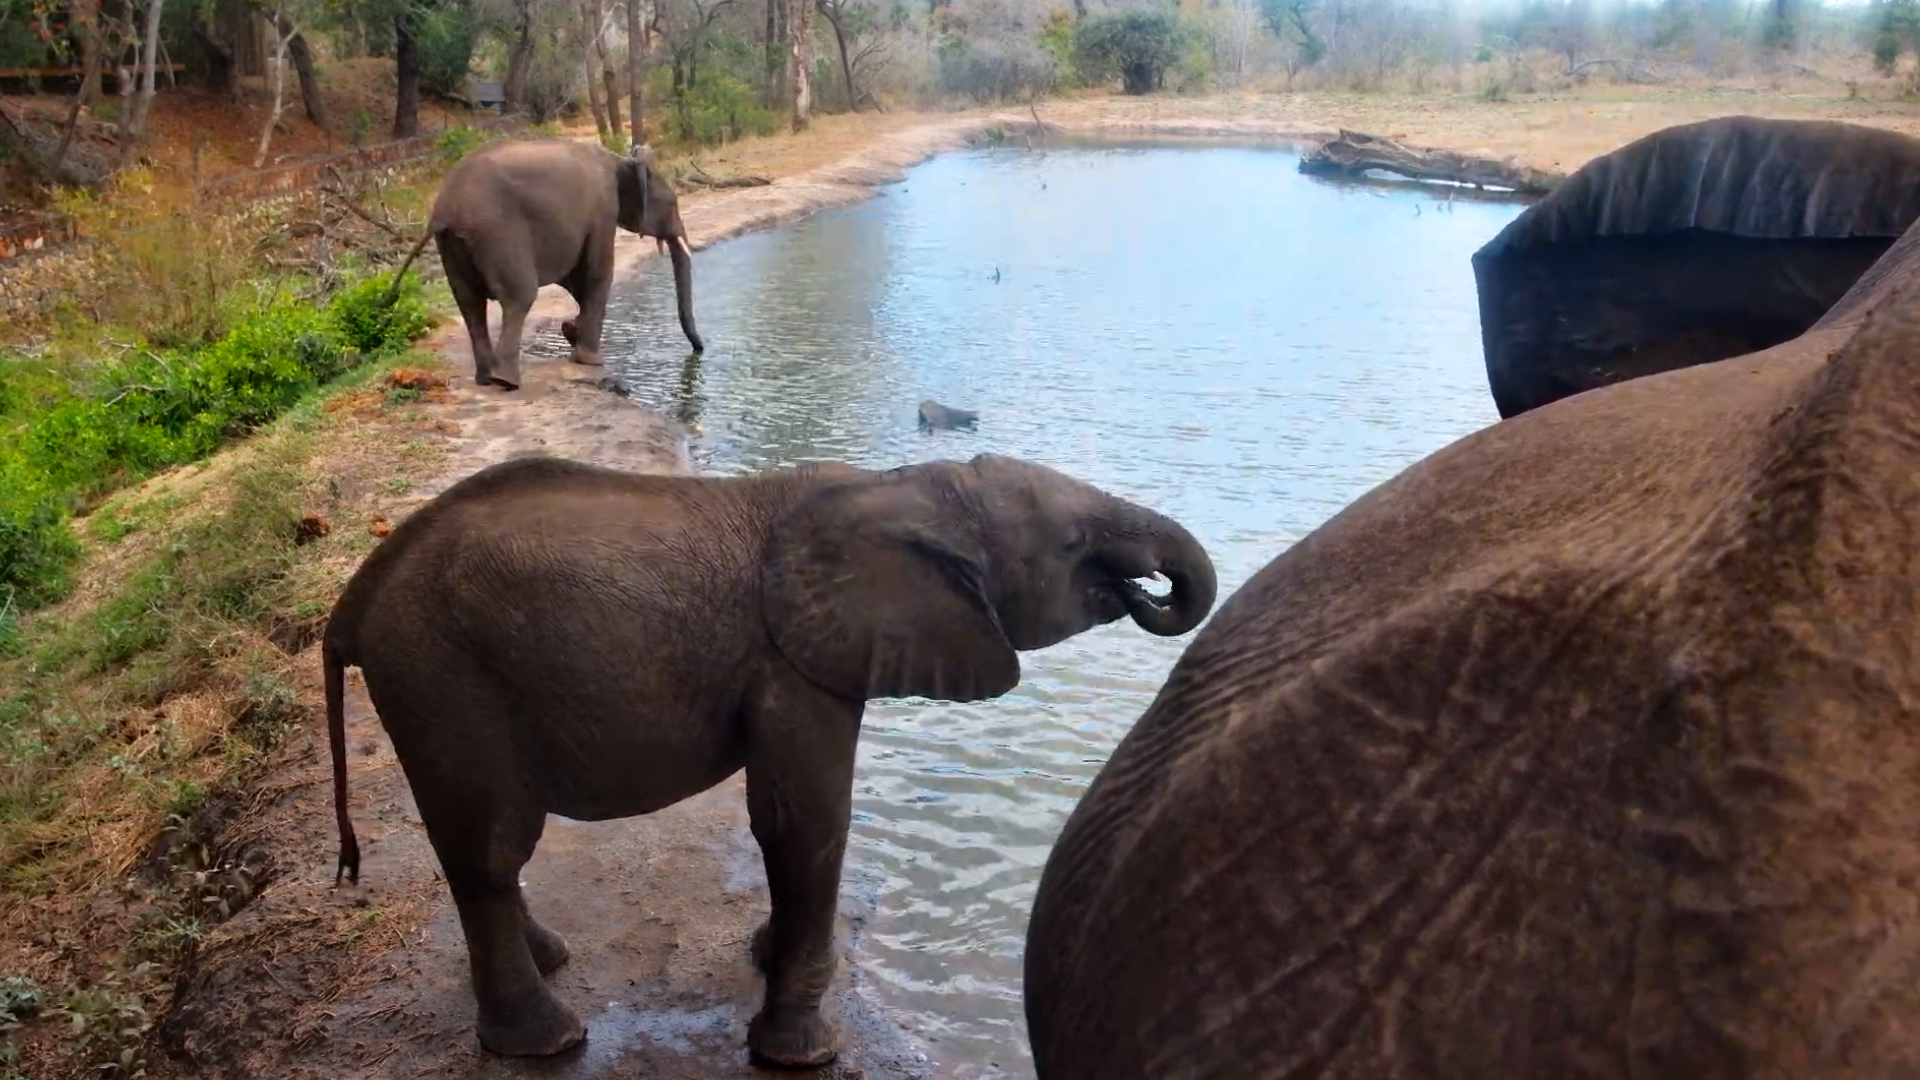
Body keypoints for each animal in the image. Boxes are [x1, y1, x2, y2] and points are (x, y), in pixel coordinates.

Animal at [323, 452, 1216, 1068]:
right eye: (1072, 543)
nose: (1151, 589)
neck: (911, 488)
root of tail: (352, 601)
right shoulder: (792, 664)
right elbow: (805, 825)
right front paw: (801, 1053)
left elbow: (797, 826)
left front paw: (768, 960)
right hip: (441, 676)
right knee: (491, 848)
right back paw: (547, 1041)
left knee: (488, 855)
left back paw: (552, 963)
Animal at [387, 137, 703, 393]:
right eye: (672, 203)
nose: (699, 351)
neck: (621, 160)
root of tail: (443, 209)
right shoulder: (602, 211)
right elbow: (597, 273)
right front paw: (592, 361)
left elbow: (575, 278)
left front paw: (570, 331)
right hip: (497, 232)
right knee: (519, 296)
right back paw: (507, 382)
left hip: (453, 242)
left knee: (470, 304)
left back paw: (486, 379)